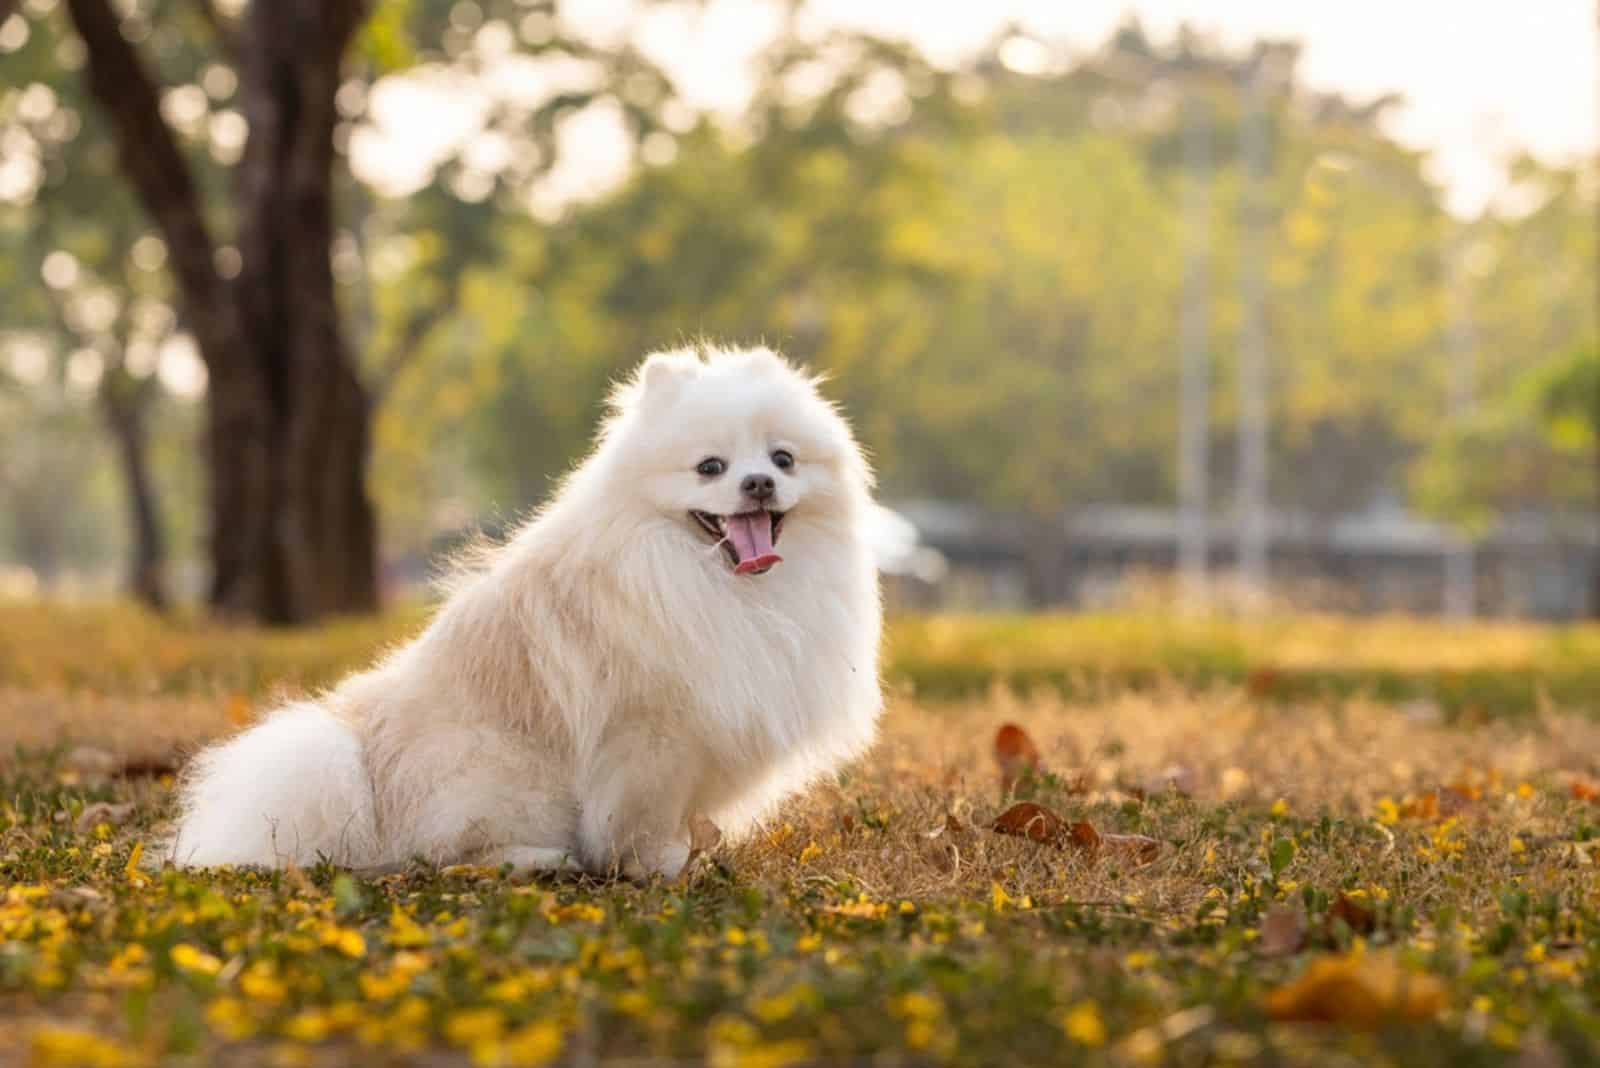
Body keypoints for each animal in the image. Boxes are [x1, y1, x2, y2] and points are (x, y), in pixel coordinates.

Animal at [172, 346, 889, 882]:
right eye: (711, 467)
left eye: (783, 458)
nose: (758, 483)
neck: (723, 584)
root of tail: (362, 766)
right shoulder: (651, 729)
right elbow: (643, 816)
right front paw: (657, 862)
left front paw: (699, 847)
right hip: (505, 777)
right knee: (443, 853)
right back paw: (539, 859)